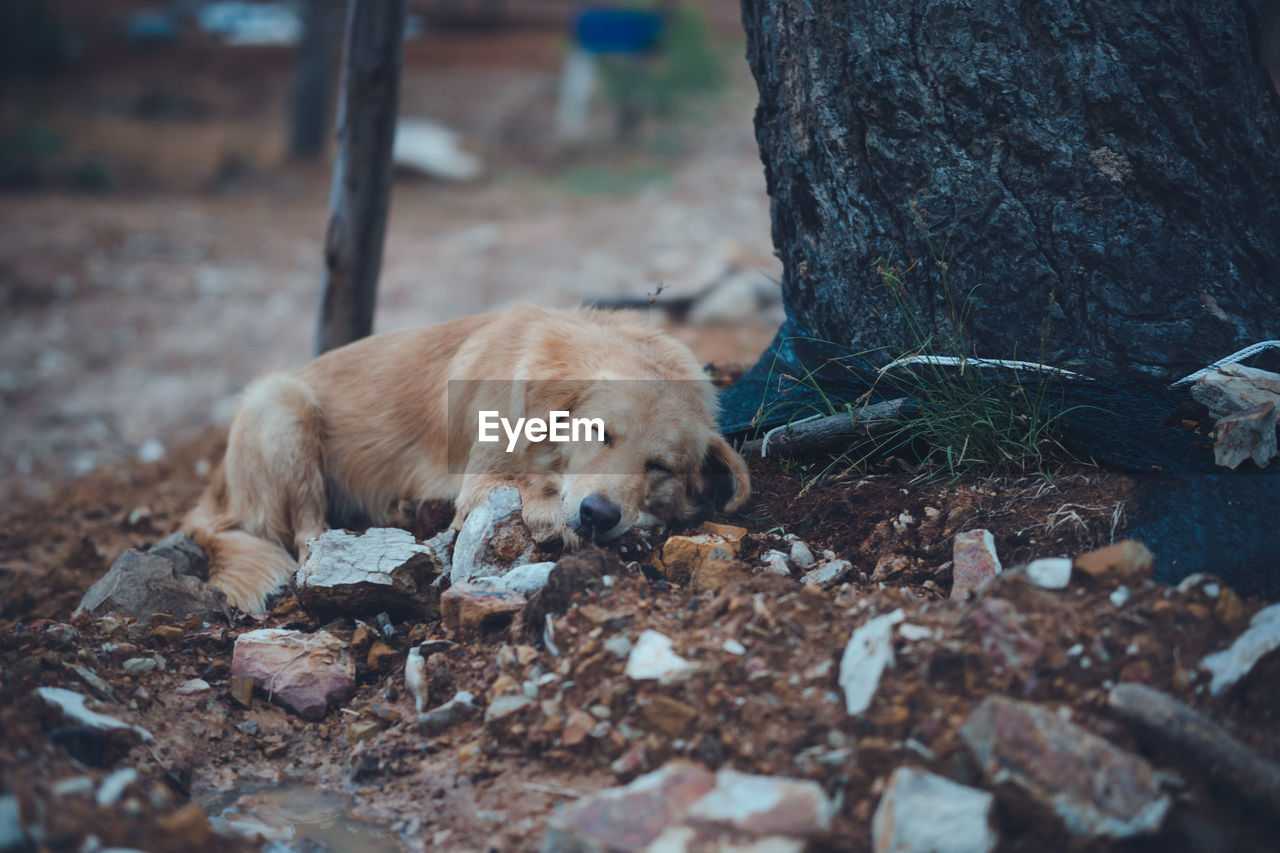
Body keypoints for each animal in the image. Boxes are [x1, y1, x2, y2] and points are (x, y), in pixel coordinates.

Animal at [180, 306, 747, 612]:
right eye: (598, 433)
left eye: (660, 467)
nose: (598, 515)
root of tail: (208, 501)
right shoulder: (483, 481)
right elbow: (535, 496)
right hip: (281, 402)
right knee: (303, 536)